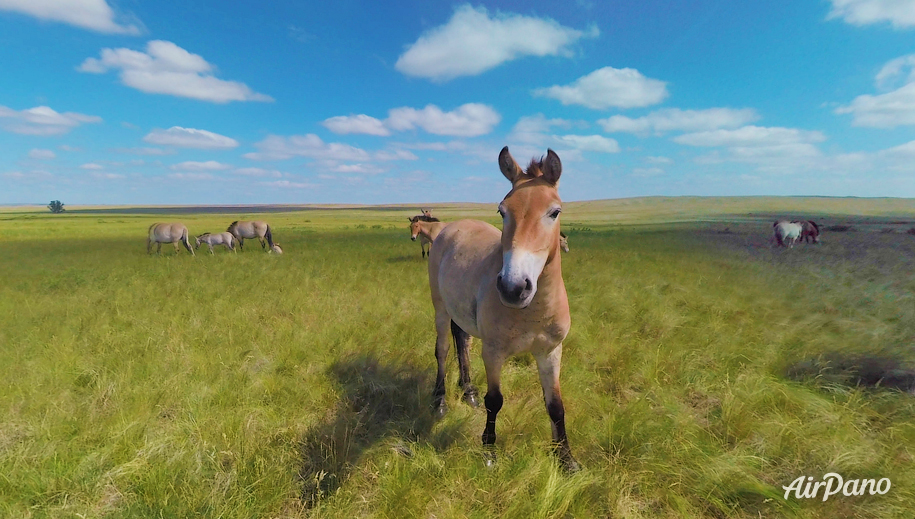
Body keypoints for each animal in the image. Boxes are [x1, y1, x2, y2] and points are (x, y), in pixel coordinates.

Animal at [428, 148, 580, 474]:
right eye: (502, 211)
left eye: (555, 212)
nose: (513, 287)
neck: (532, 311)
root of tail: (452, 226)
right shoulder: (494, 352)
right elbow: (495, 400)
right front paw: (489, 453)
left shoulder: (551, 351)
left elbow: (555, 405)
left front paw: (566, 459)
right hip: (440, 309)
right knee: (443, 349)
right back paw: (440, 401)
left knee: (462, 341)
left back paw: (468, 391)